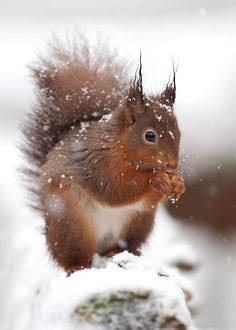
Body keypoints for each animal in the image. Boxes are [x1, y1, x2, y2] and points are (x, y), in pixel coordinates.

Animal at [21, 34, 184, 274]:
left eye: (179, 131)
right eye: (150, 136)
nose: (173, 164)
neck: (118, 145)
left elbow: (143, 199)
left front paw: (178, 183)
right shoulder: (97, 163)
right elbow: (115, 188)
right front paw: (156, 179)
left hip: (139, 223)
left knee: (123, 244)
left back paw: (121, 251)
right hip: (71, 224)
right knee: (73, 257)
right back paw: (77, 266)